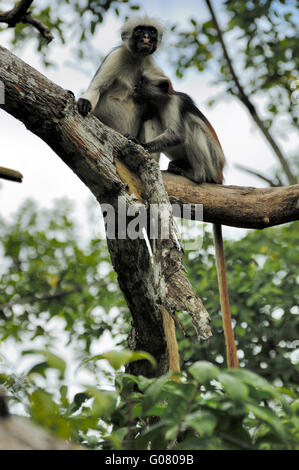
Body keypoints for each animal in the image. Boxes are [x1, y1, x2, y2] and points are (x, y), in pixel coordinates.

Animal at [130, 77, 240, 370]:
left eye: (143, 81)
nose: (135, 88)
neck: (162, 101)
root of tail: (220, 175)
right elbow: (151, 117)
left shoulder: (178, 103)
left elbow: (179, 133)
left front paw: (136, 142)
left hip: (211, 161)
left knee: (191, 126)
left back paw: (196, 175)